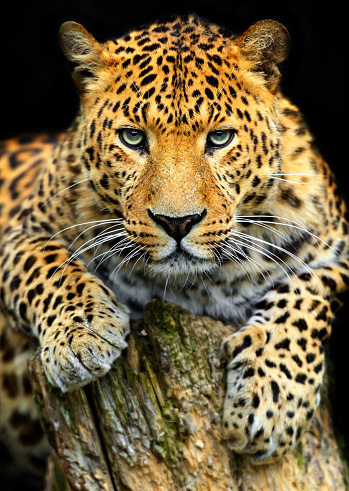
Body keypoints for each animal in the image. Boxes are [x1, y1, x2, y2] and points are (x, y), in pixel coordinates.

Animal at [0, 13, 346, 486]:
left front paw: (270, 402)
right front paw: (82, 336)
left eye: (220, 138)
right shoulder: (20, 234)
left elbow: (307, 298)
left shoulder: (334, 247)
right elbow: (50, 268)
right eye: (132, 138)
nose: (177, 222)